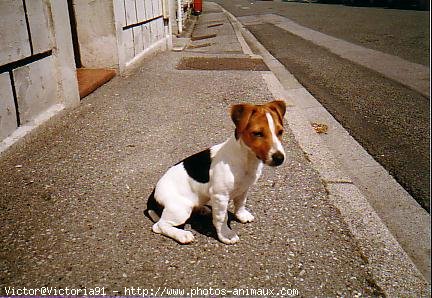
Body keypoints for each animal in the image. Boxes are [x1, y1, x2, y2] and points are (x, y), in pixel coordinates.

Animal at [146, 100, 286, 244]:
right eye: (258, 133)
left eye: (280, 132)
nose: (279, 158)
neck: (246, 158)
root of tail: (152, 196)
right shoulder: (220, 196)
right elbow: (222, 217)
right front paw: (226, 234)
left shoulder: (244, 188)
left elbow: (240, 203)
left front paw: (242, 215)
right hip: (180, 209)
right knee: (159, 226)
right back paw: (182, 235)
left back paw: (202, 209)